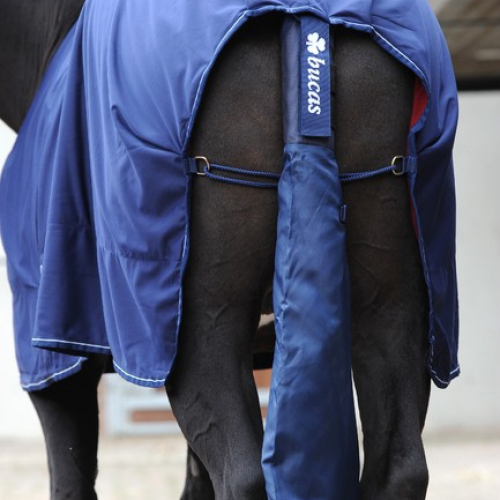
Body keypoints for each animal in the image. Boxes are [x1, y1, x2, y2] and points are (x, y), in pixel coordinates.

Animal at [0, 0, 430, 500]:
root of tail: (305, 13)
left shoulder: (55, 366)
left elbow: (71, 481)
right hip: (394, 307)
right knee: (401, 468)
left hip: (204, 327)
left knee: (243, 475)